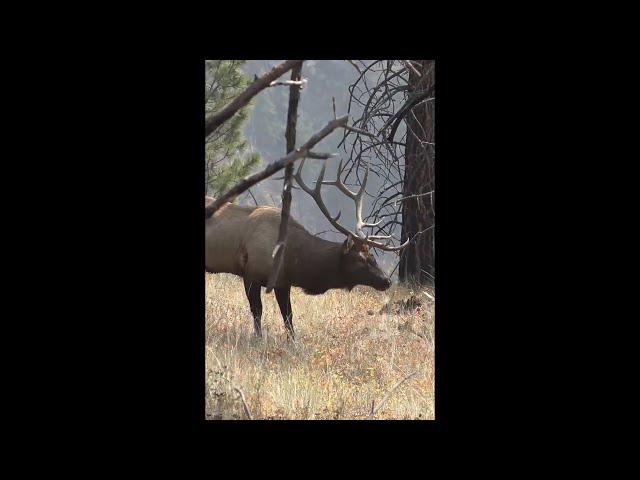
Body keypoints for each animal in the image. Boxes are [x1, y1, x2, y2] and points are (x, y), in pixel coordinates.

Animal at [204, 159, 410, 340]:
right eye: (360, 259)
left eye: (372, 256)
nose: (386, 280)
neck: (293, 261)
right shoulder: (251, 273)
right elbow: (257, 311)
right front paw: (258, 338)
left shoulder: (283, 282)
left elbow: (288, 315)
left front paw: (293, 342)